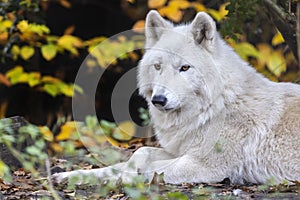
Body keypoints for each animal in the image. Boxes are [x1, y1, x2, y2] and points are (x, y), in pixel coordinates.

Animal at [53, 10, 300, 184]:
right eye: (158, 66)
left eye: (184, 68)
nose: (158, 100)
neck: (213, 108)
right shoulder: (178, 151)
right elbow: (138, 155)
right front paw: (69, 176)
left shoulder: (202, 165)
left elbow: (147, 170)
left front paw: (125, 179)